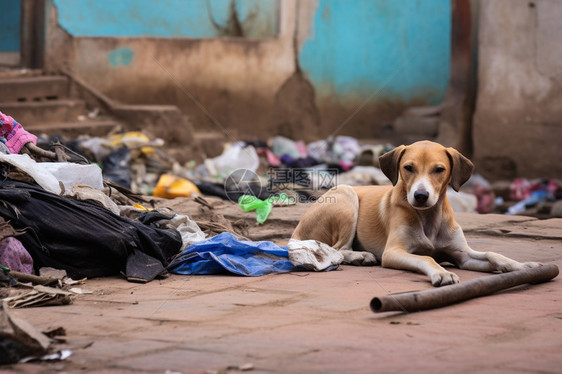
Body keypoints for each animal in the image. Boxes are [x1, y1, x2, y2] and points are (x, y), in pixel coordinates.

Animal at [288, 140, 540, 286]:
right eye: (408, 168)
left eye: (439, 170)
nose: (420, 195)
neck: (428, 217)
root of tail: (297, 231)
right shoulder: (393, 252)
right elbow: (427, 257)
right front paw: (441, 273)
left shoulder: (462, 255)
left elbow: (493, 254)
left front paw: (524, 266)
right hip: (346, 195)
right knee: (338, 249)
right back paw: (360, 256)